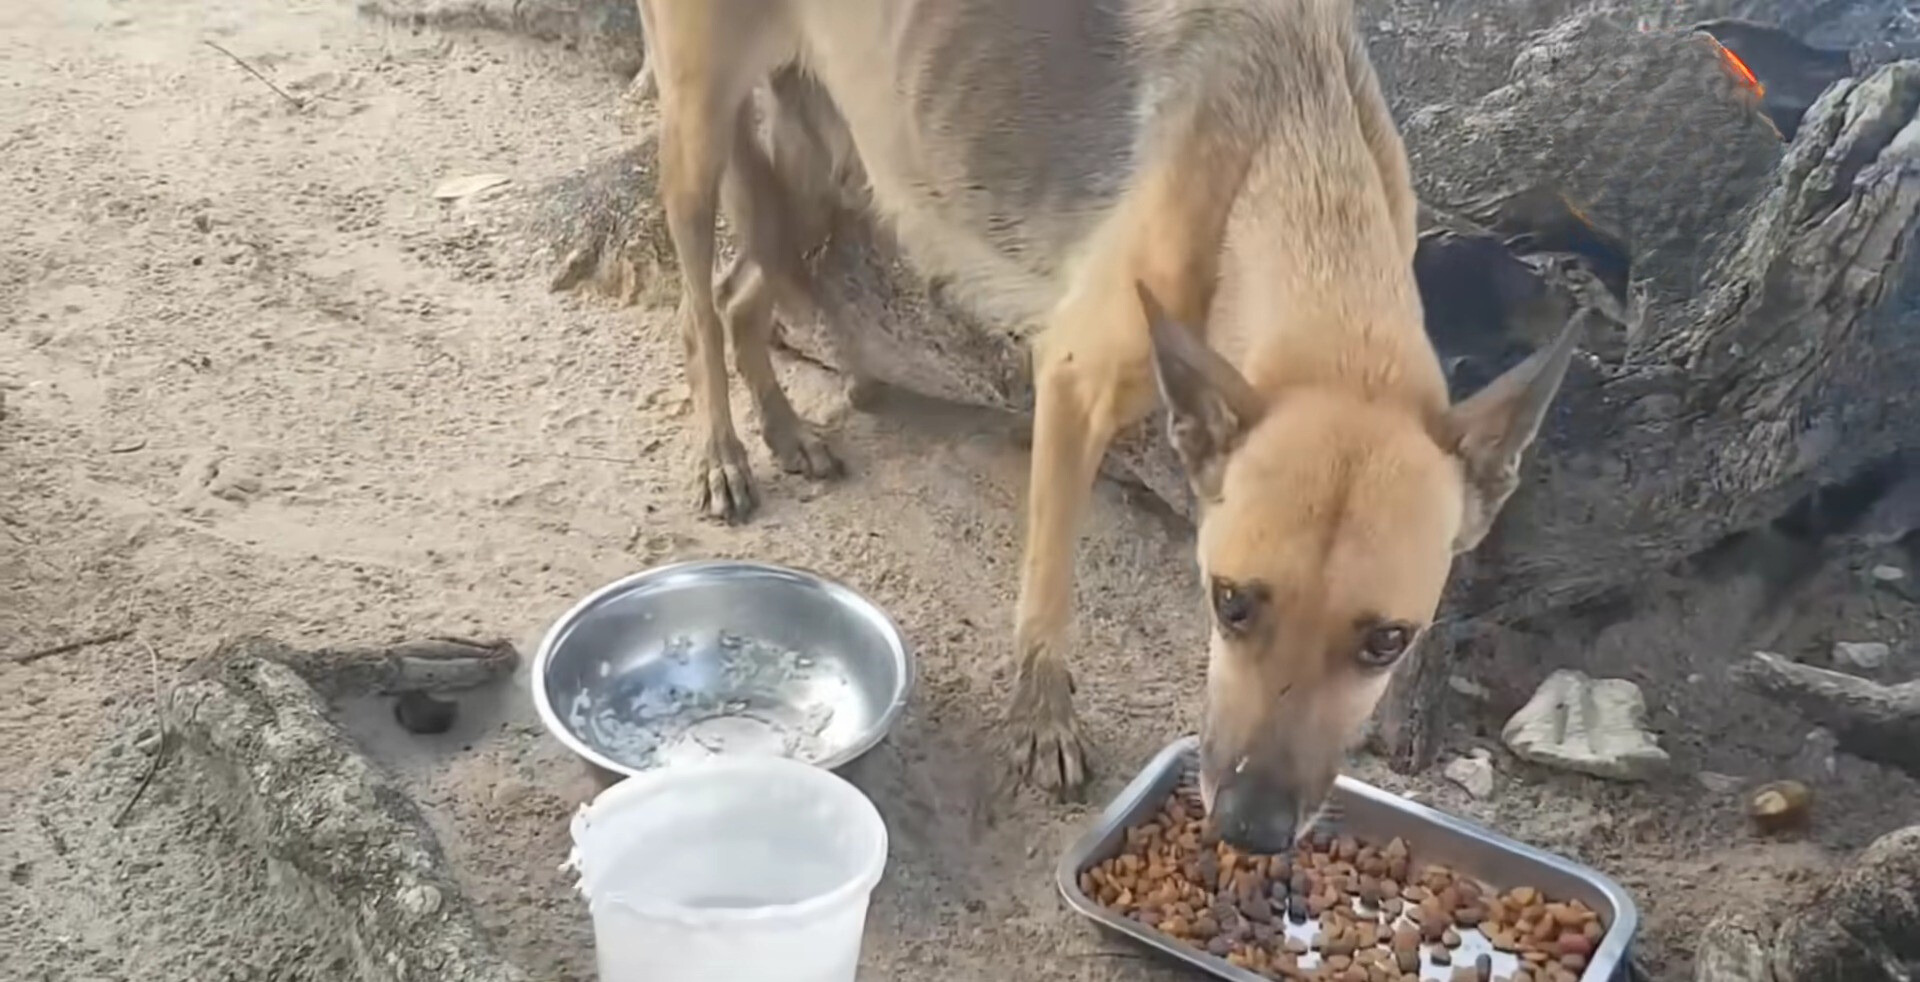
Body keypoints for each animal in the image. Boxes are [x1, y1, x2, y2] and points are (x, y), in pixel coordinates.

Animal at [645, 0, 1574, 849]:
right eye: (1229, 604)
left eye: (1386, 642)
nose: (1251, 829)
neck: (1290, 158)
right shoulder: (1071, 381)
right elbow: (1049, 582)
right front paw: (1043, 722)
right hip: (701, 136)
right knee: (697, 309)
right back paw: (723, 454)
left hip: (826, 162)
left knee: (739, 297)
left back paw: (785, 430)